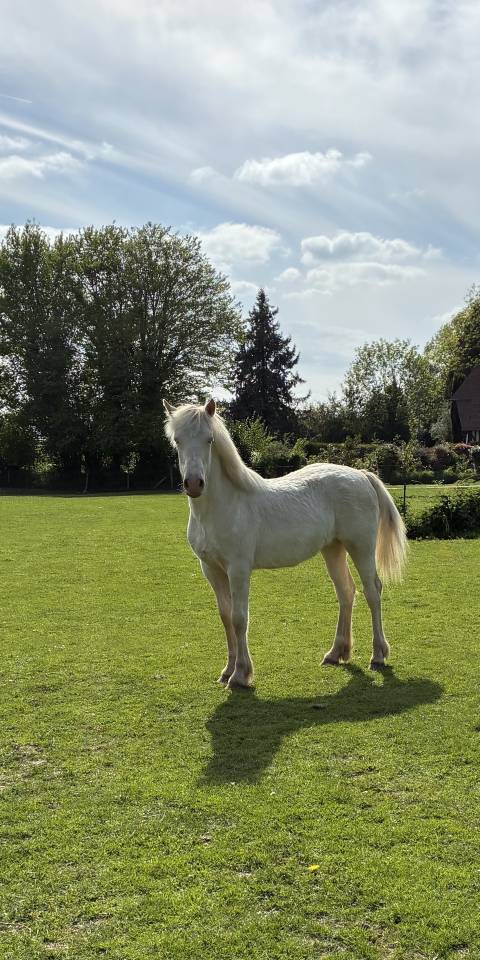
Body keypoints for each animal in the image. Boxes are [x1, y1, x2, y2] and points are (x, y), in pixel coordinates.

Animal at [163, 398, 407, 689]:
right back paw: (336, 653)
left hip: (361, 548)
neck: (224, 506)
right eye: (177, 440)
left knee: (372, 591)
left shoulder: (238, 569)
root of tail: (360, 475)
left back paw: (378, 655)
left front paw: (240, 674)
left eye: (209, 439)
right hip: (333, 550)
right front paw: (227, 670)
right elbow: (225, 617)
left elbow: (239, 618)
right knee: (346, 593)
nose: (194, 484)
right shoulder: (211, 570)